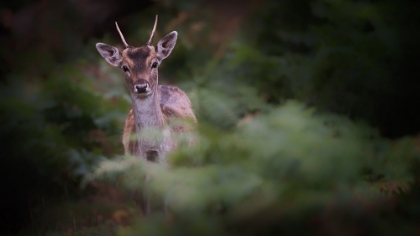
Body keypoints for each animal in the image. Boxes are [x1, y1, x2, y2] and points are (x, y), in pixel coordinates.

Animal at [97, 15, 197, 216]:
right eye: (124, 67)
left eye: (154, 63)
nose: (142, 86)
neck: (152, 153)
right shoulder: (139, 179)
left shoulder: (170, 173)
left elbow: (166, 211)